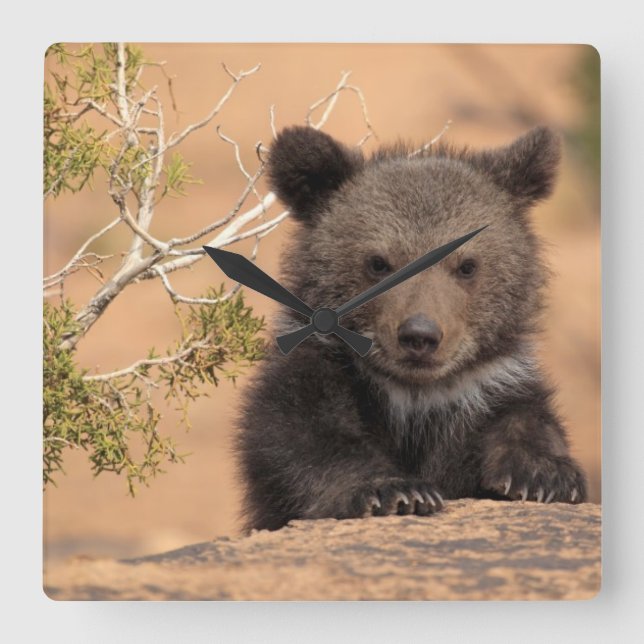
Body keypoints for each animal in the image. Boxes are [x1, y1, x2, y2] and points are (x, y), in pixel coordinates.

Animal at [236, 125, 587, 532]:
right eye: (378, 262)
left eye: (467, 265)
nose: (420, 335)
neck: (415, 398)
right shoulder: (320, 374)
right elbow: (303, 436)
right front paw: (394, 490)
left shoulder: (490, 387)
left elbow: (526, 419)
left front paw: (544, 474)